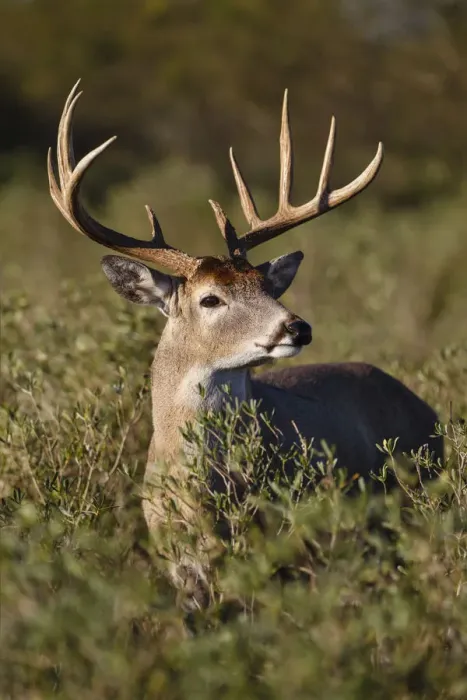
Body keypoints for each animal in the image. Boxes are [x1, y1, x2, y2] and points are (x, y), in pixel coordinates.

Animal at [48, 82, 443, 602]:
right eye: (211, 299)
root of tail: (428, 410)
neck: (200, 497)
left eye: (266, 286)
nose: (298, 328)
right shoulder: (179, 565)